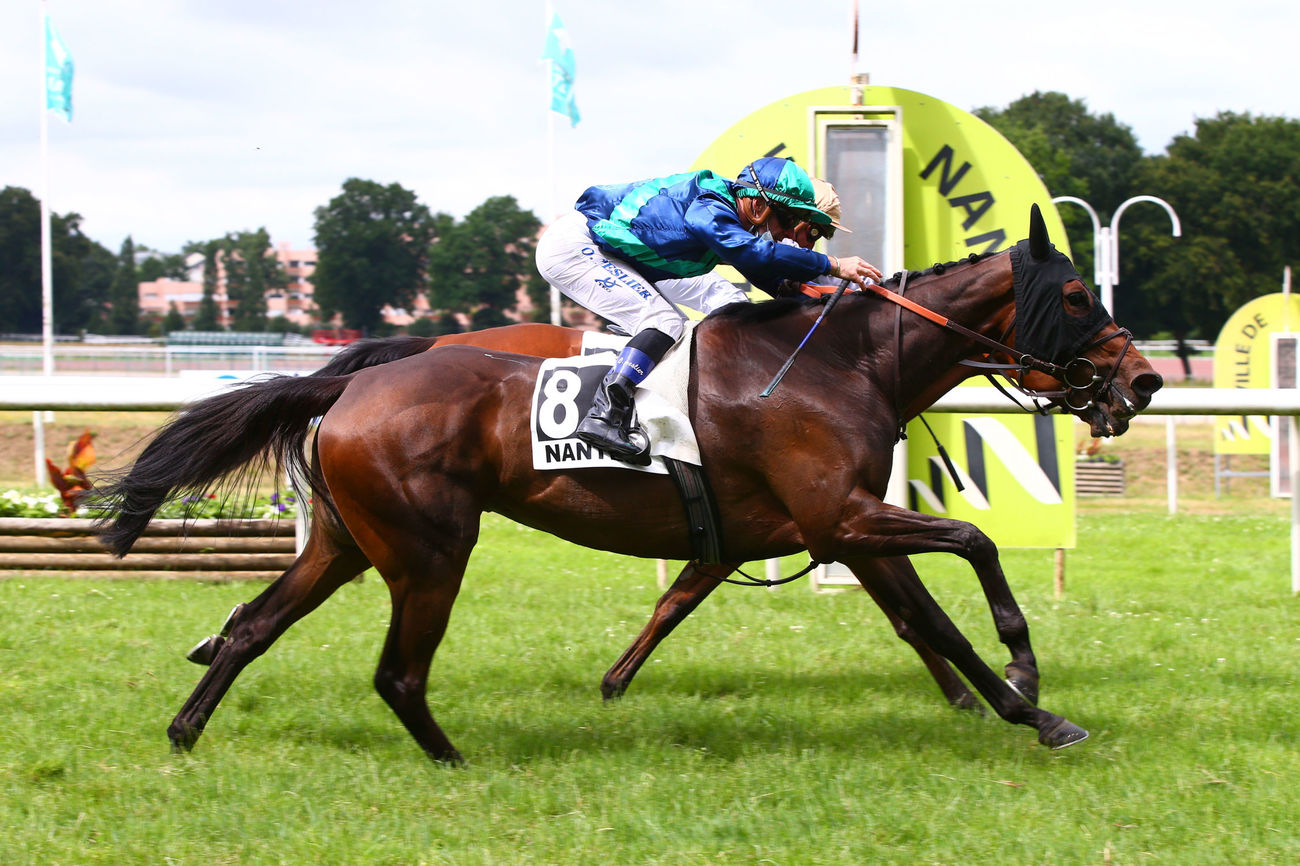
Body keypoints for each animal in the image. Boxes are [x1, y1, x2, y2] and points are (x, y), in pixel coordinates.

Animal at [96, 205, 1164, 759]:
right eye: (1077, 295)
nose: (1145, 381)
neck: (838, 361)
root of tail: (349, 383)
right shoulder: (845, 516)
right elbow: (972, 553)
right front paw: (1027, 679)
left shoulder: (836, 528)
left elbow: (925, 623)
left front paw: (1023, 708)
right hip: (427, 549)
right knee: (396, 671)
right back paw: (453, 759)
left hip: (344, 542)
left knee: (251, 625)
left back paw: (186, 731)